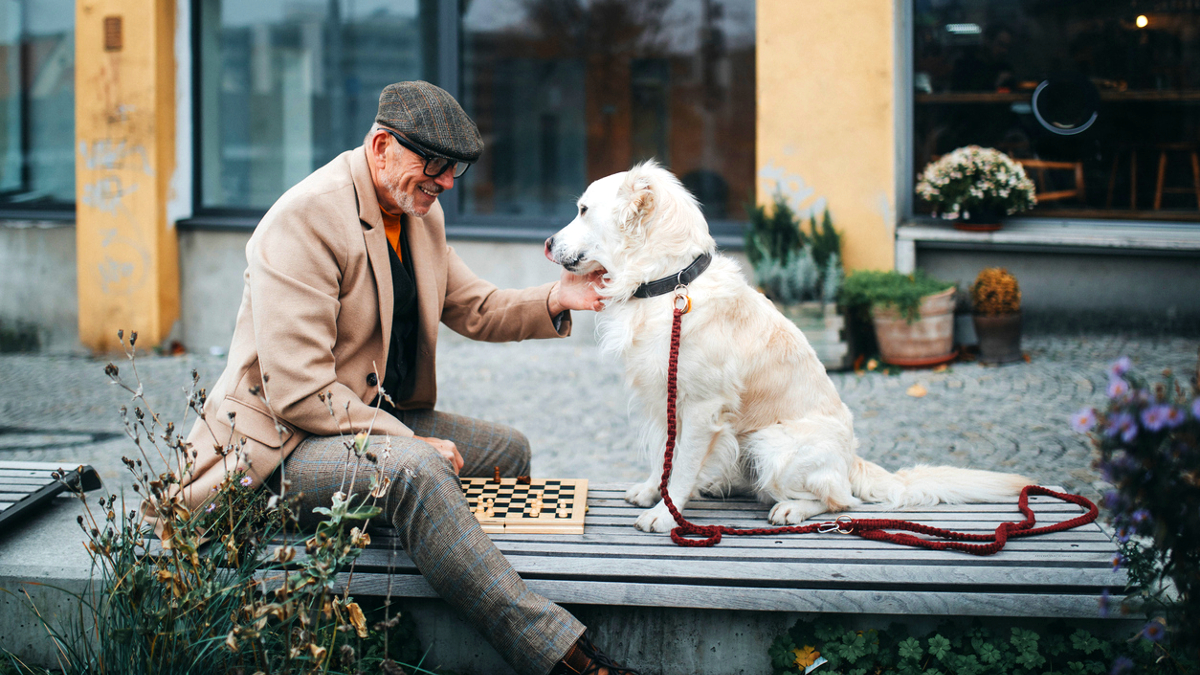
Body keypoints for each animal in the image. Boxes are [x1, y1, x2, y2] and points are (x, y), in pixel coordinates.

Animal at [549, 159, 1027, 528]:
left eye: (583, 209)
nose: (549, 243)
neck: (668, 283)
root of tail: (852, 461)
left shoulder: (703, 407)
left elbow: (681, 466)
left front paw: (667, 515)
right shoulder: (661, 397)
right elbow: (663, 457)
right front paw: (653, 491)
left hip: (772, 444)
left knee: (841, 500)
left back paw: (792, 509)